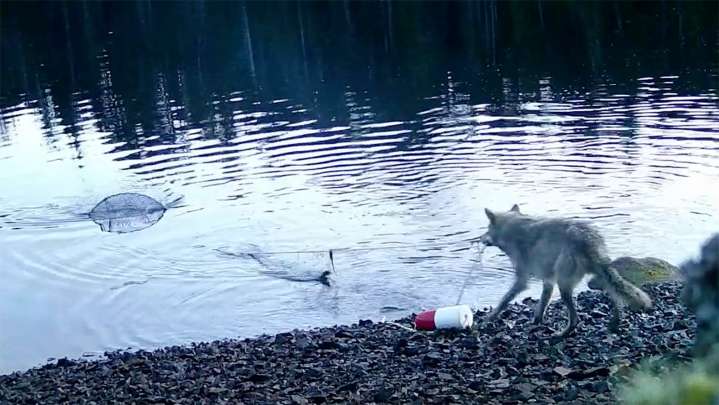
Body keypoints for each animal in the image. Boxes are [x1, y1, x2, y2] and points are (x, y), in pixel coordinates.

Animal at [479, 204, 653, 337]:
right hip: (600, 276)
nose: (479, 238)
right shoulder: (548, 280)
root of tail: (587, 239)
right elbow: (542, 303)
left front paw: (490, 317)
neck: (512, 229)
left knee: (576, 319)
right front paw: (537, 320)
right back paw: (615, 322)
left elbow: (504, 300)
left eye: (487, 229)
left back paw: (563, 333)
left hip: (564, 285)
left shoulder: (522, 279)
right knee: (617, 299)